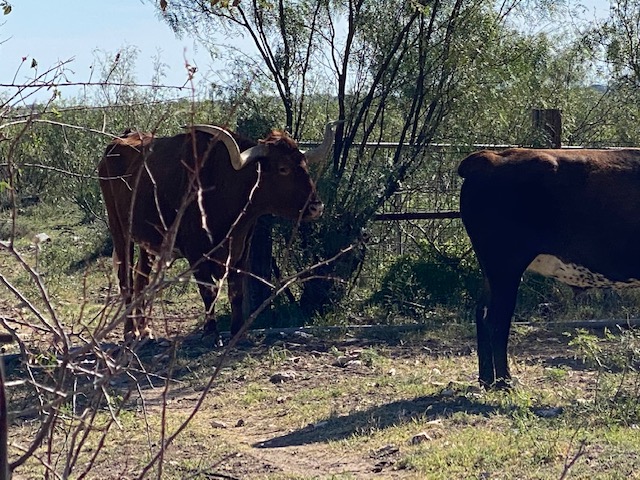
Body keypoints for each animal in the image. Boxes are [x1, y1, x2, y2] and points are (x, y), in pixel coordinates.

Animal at [99, 121, 340, 345]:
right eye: (283, 168)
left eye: (304, 165)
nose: (316, 207)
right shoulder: (196, 252)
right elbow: (209, 290)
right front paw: (210, 334)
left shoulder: (241, 248)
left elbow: (236, 290)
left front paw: (238, 331)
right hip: (119, 230)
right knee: (126, 279)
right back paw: (131, 331)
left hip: (147, 241)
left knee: (141, 277)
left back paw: (145, 330)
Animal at [458, 147, 640, 389]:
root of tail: (492, 157)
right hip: (505, 267)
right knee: (496, 320)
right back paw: (505, 381)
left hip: (492, 271)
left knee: (481, 313)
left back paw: (487, 379)